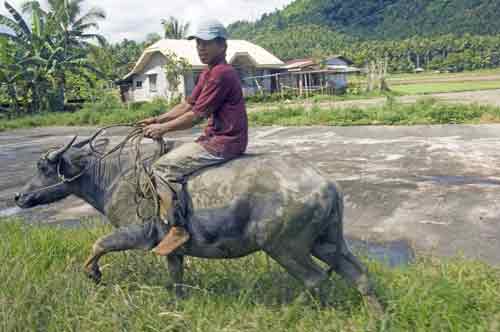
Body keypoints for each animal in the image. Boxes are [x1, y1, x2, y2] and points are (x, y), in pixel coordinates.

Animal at [16, 135, 382, 312]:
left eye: (44, 168)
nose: (19, 196)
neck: (115, 178)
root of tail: (328, 184)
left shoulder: (136, 234)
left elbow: (100, 244)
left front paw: (93, 273)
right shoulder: (172, 250)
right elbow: (175, 276)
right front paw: (176, 302)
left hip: (284, 247)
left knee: (315, 279)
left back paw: (295, 311)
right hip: (328, 241)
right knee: (359, 276)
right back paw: (377, 315)